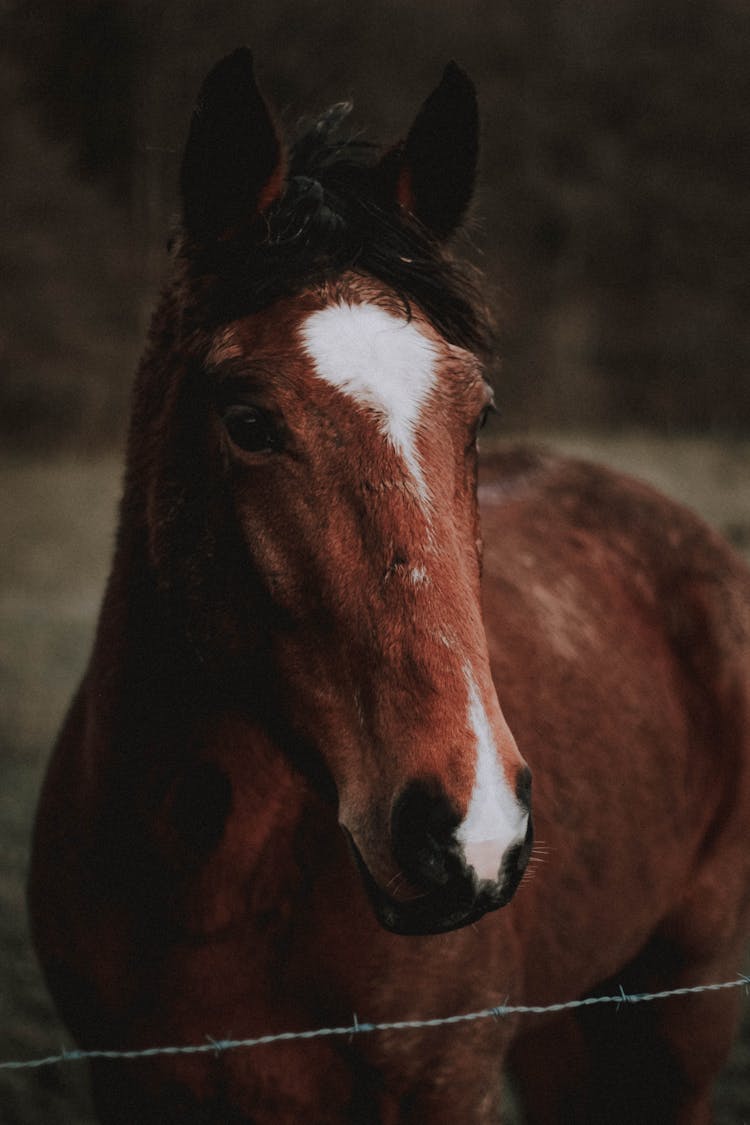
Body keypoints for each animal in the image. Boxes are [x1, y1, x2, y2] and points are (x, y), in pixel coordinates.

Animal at [27, 50, 750, 1125]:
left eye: (477, 413)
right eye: (247, 421)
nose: (473, 829)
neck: (209, 881)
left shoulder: (446, 1081)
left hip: (681, 1011)